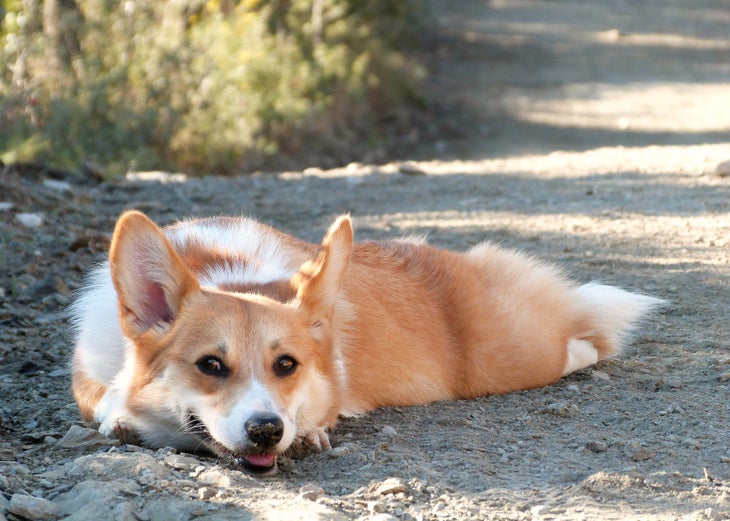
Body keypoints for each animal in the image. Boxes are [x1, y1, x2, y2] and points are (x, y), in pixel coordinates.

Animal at [71, 209, 664, 474]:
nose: (268, 431)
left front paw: (311, 431)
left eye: (286, 365)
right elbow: (103, 398)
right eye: (210, 365)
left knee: (581, 336)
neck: (230, 272)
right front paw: (119, 415)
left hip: (511, 360)